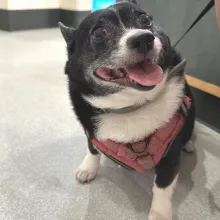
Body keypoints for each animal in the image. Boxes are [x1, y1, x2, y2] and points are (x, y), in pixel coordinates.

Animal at [59, 0, 195, 219]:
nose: (144, 38)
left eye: (144, 19)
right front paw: (88, 168)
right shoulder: (90, 130)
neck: (130, 106)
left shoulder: (170, 158)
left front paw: (159, 213)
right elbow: (92, 149)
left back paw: (189, 144)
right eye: (99, 32)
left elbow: (162, 186)